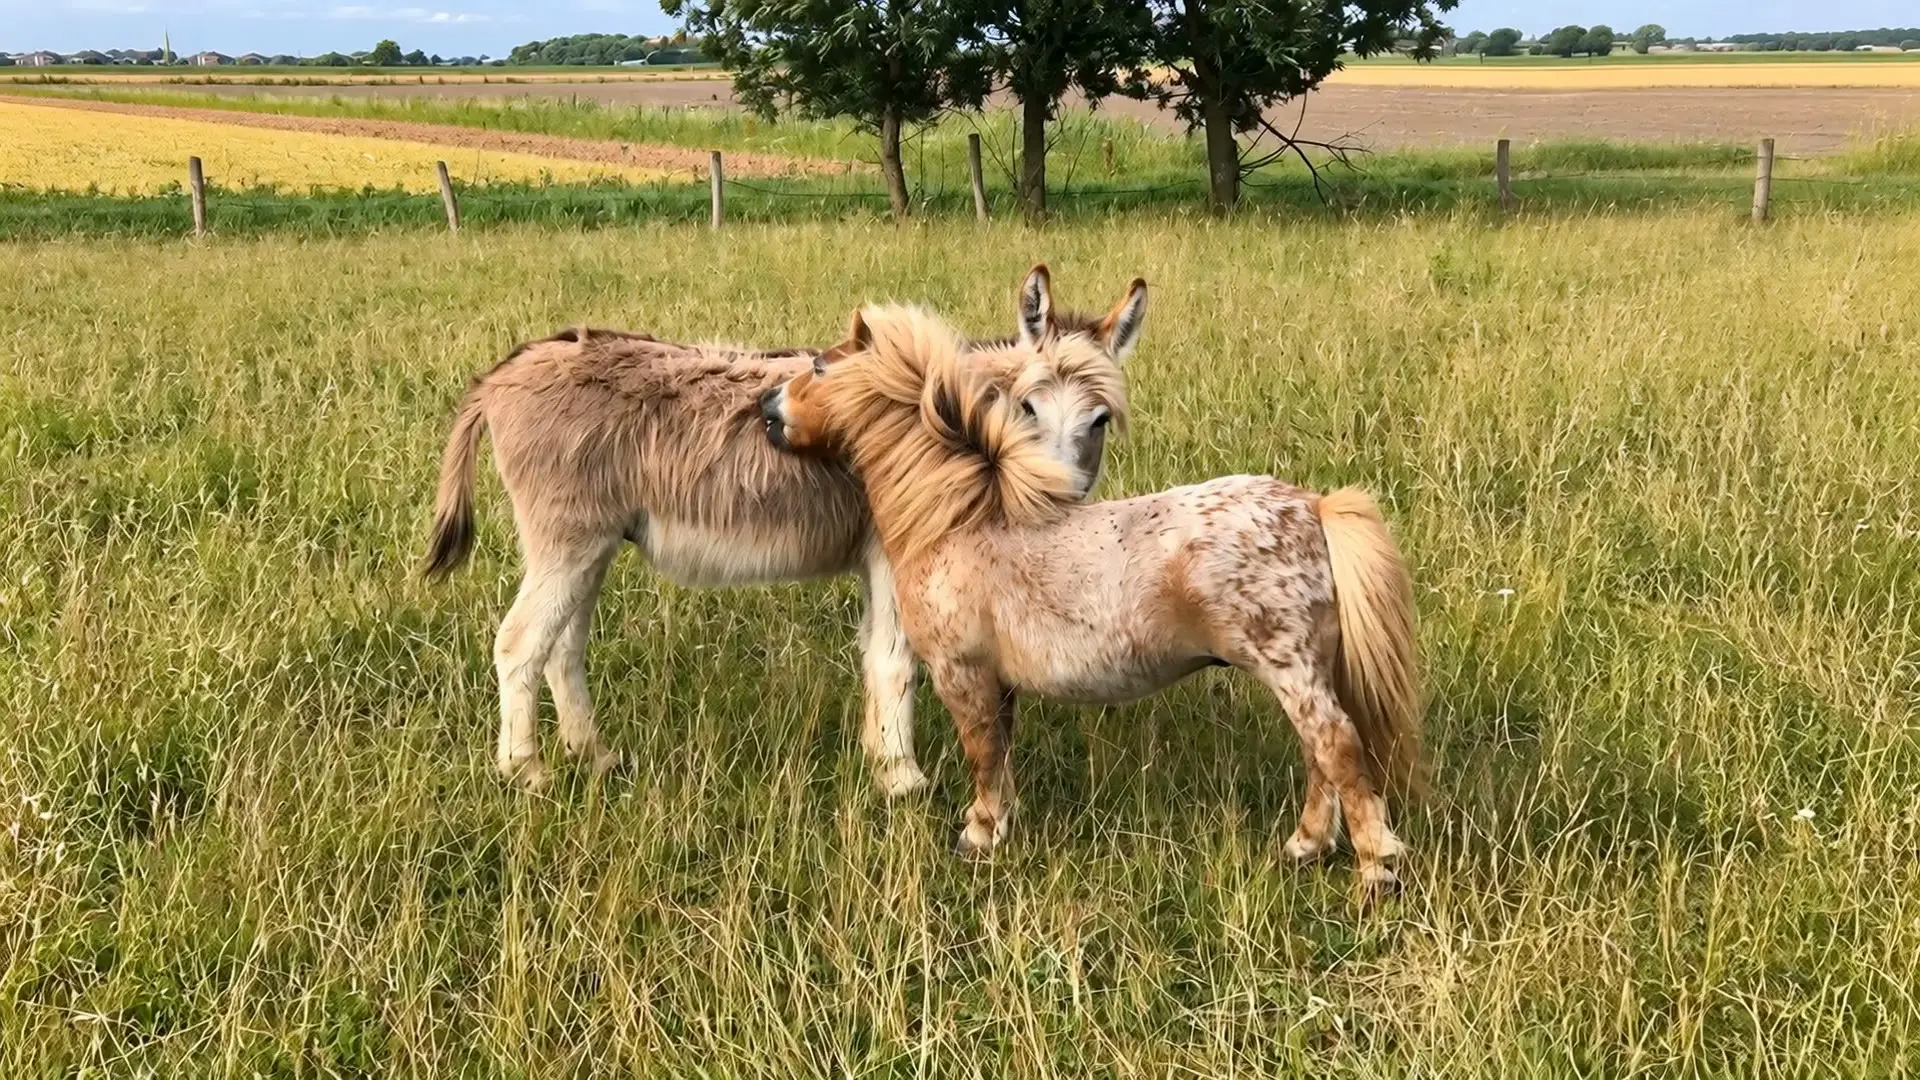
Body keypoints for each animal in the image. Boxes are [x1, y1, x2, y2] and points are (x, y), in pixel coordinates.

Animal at [422, 267, 1148, 792]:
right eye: (1026, 407)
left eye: (1099, 421)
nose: (1058, 503)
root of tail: (503, 372)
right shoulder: (894, 554)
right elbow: (895, 660)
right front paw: (903, 783)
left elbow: (876, 654)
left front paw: (878, 758)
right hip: (567, 542)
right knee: (519, 644)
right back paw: (528, 774)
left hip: (589, 547)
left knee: (561, 649)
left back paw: (593, 756)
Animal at [760, 304, 1423, 889]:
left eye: (819, 366)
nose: (768, 408)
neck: (961, 520)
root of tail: (1313, 508)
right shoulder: (999, 683)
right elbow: (1001, 755)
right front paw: (1000, 823)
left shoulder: (961, 674)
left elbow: (981, 754)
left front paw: (978, 835)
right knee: (1320, 759)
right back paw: (1305, 845)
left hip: (1293, 675)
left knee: (1337, 749)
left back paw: (1375, 870)